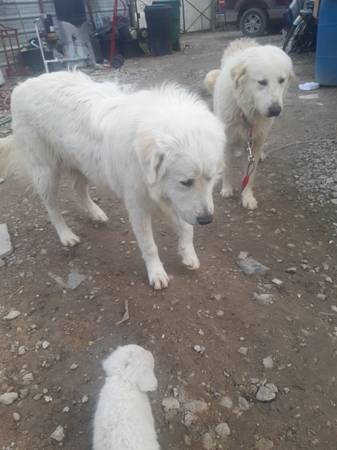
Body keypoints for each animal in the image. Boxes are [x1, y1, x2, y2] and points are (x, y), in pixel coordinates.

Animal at [1, 70, 226, 288]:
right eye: (185, 182)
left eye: (210, 178)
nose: (207, 220)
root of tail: (22, 85)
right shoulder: (139, 207)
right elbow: (149, 246)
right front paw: (156, 273)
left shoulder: (171, 199)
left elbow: (187, 229)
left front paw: (188, 255)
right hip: (46, 173)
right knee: (52, 208)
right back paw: (66, 235)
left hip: (86, 165)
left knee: (78, 189)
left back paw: (95, 213)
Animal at [203, 38, 292, 209]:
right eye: (262, 82)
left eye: (281, 81)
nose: (275, 110)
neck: (245, 111)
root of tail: (244, 42)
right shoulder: (228, 140)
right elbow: (228, 168)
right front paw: (227, 189)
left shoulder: (256, 142)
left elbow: (250, 174)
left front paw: (247, 197)